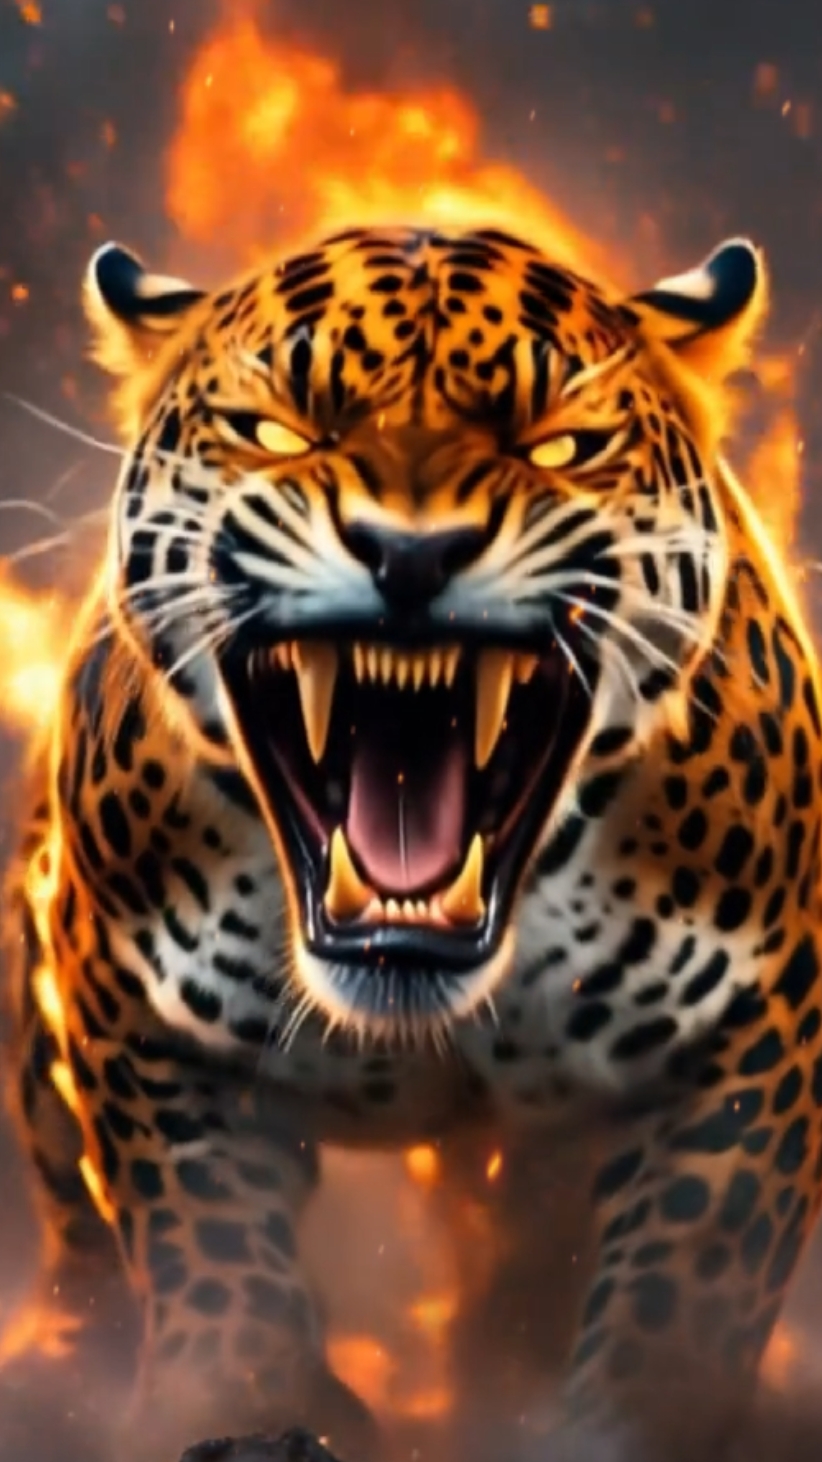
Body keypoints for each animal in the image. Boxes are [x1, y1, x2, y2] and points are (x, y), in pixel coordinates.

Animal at [4, 221, 822, 1462]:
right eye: (280, 432)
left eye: (560, 445)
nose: (411, 556)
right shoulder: (133, 1013)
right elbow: (208, 1246)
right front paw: (243, 1403)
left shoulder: (756, 1029)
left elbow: (685, 1280)